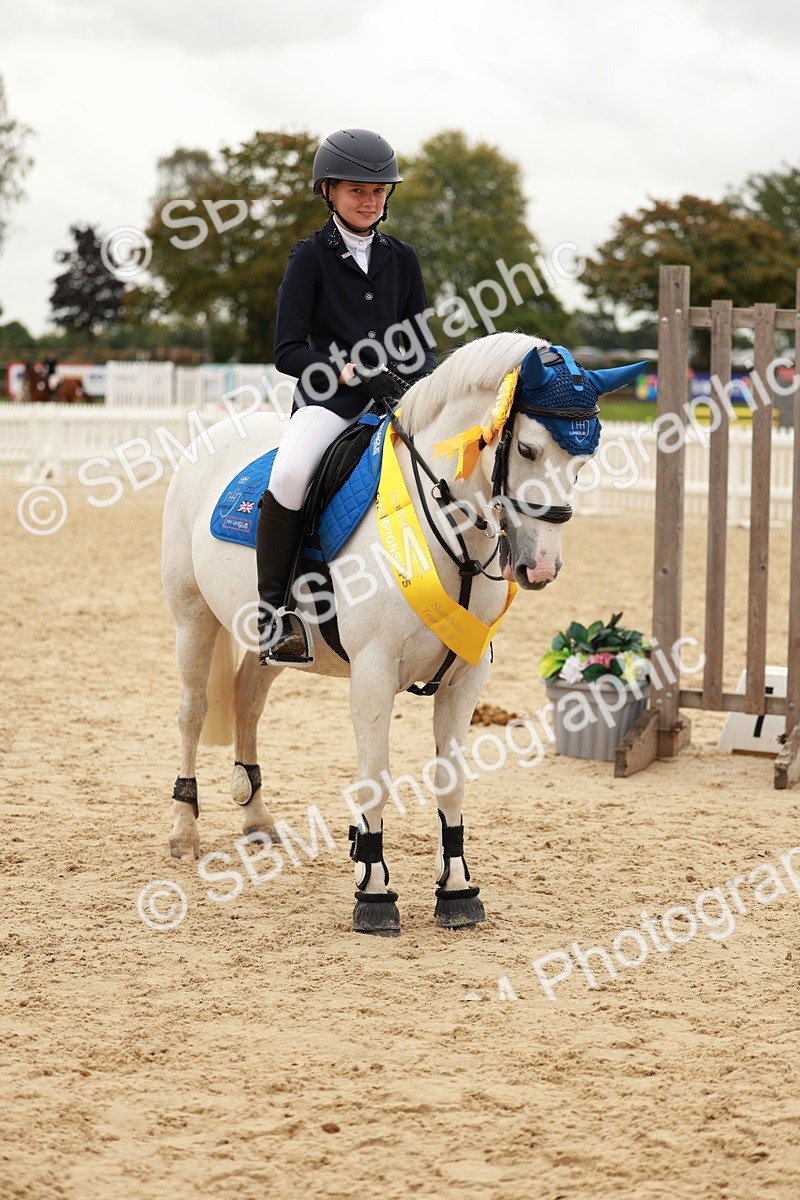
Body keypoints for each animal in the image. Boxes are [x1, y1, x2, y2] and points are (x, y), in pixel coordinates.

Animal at [161, 331, 643, 934]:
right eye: (529, 450)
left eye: (585, 458)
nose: (541, 568)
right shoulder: (371, 674)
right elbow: (376, 778)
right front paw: (373, 894)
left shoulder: (466, 677)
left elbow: (451, 778)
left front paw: (457, 889)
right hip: (193, 616)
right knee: (192, 712)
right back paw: (184, 831)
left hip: (263, 633)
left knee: (248, 699)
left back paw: (256, 819)